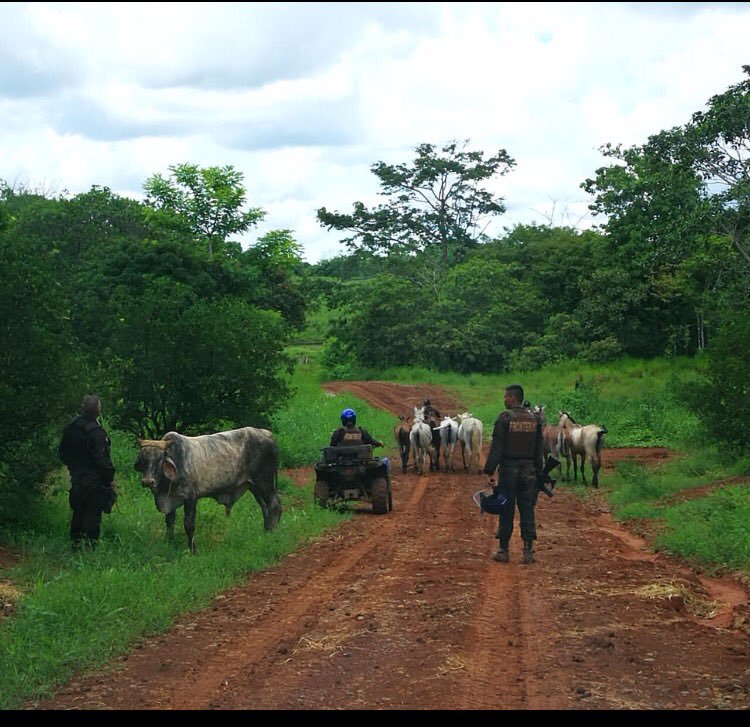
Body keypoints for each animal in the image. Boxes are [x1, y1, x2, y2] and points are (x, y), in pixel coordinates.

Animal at [135, 426, 282, 552]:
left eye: (160, 459)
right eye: (143, 459)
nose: (147, 481)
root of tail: (267, 433)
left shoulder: (190, 497)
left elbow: (189, 524)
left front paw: (193, 550)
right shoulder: (170, 500)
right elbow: (169, 522)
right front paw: (168, 543)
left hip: (265, 482)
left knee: (274, 504)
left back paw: (273, 532)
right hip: (254, 486)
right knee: (264, 507)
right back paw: (266, 530)